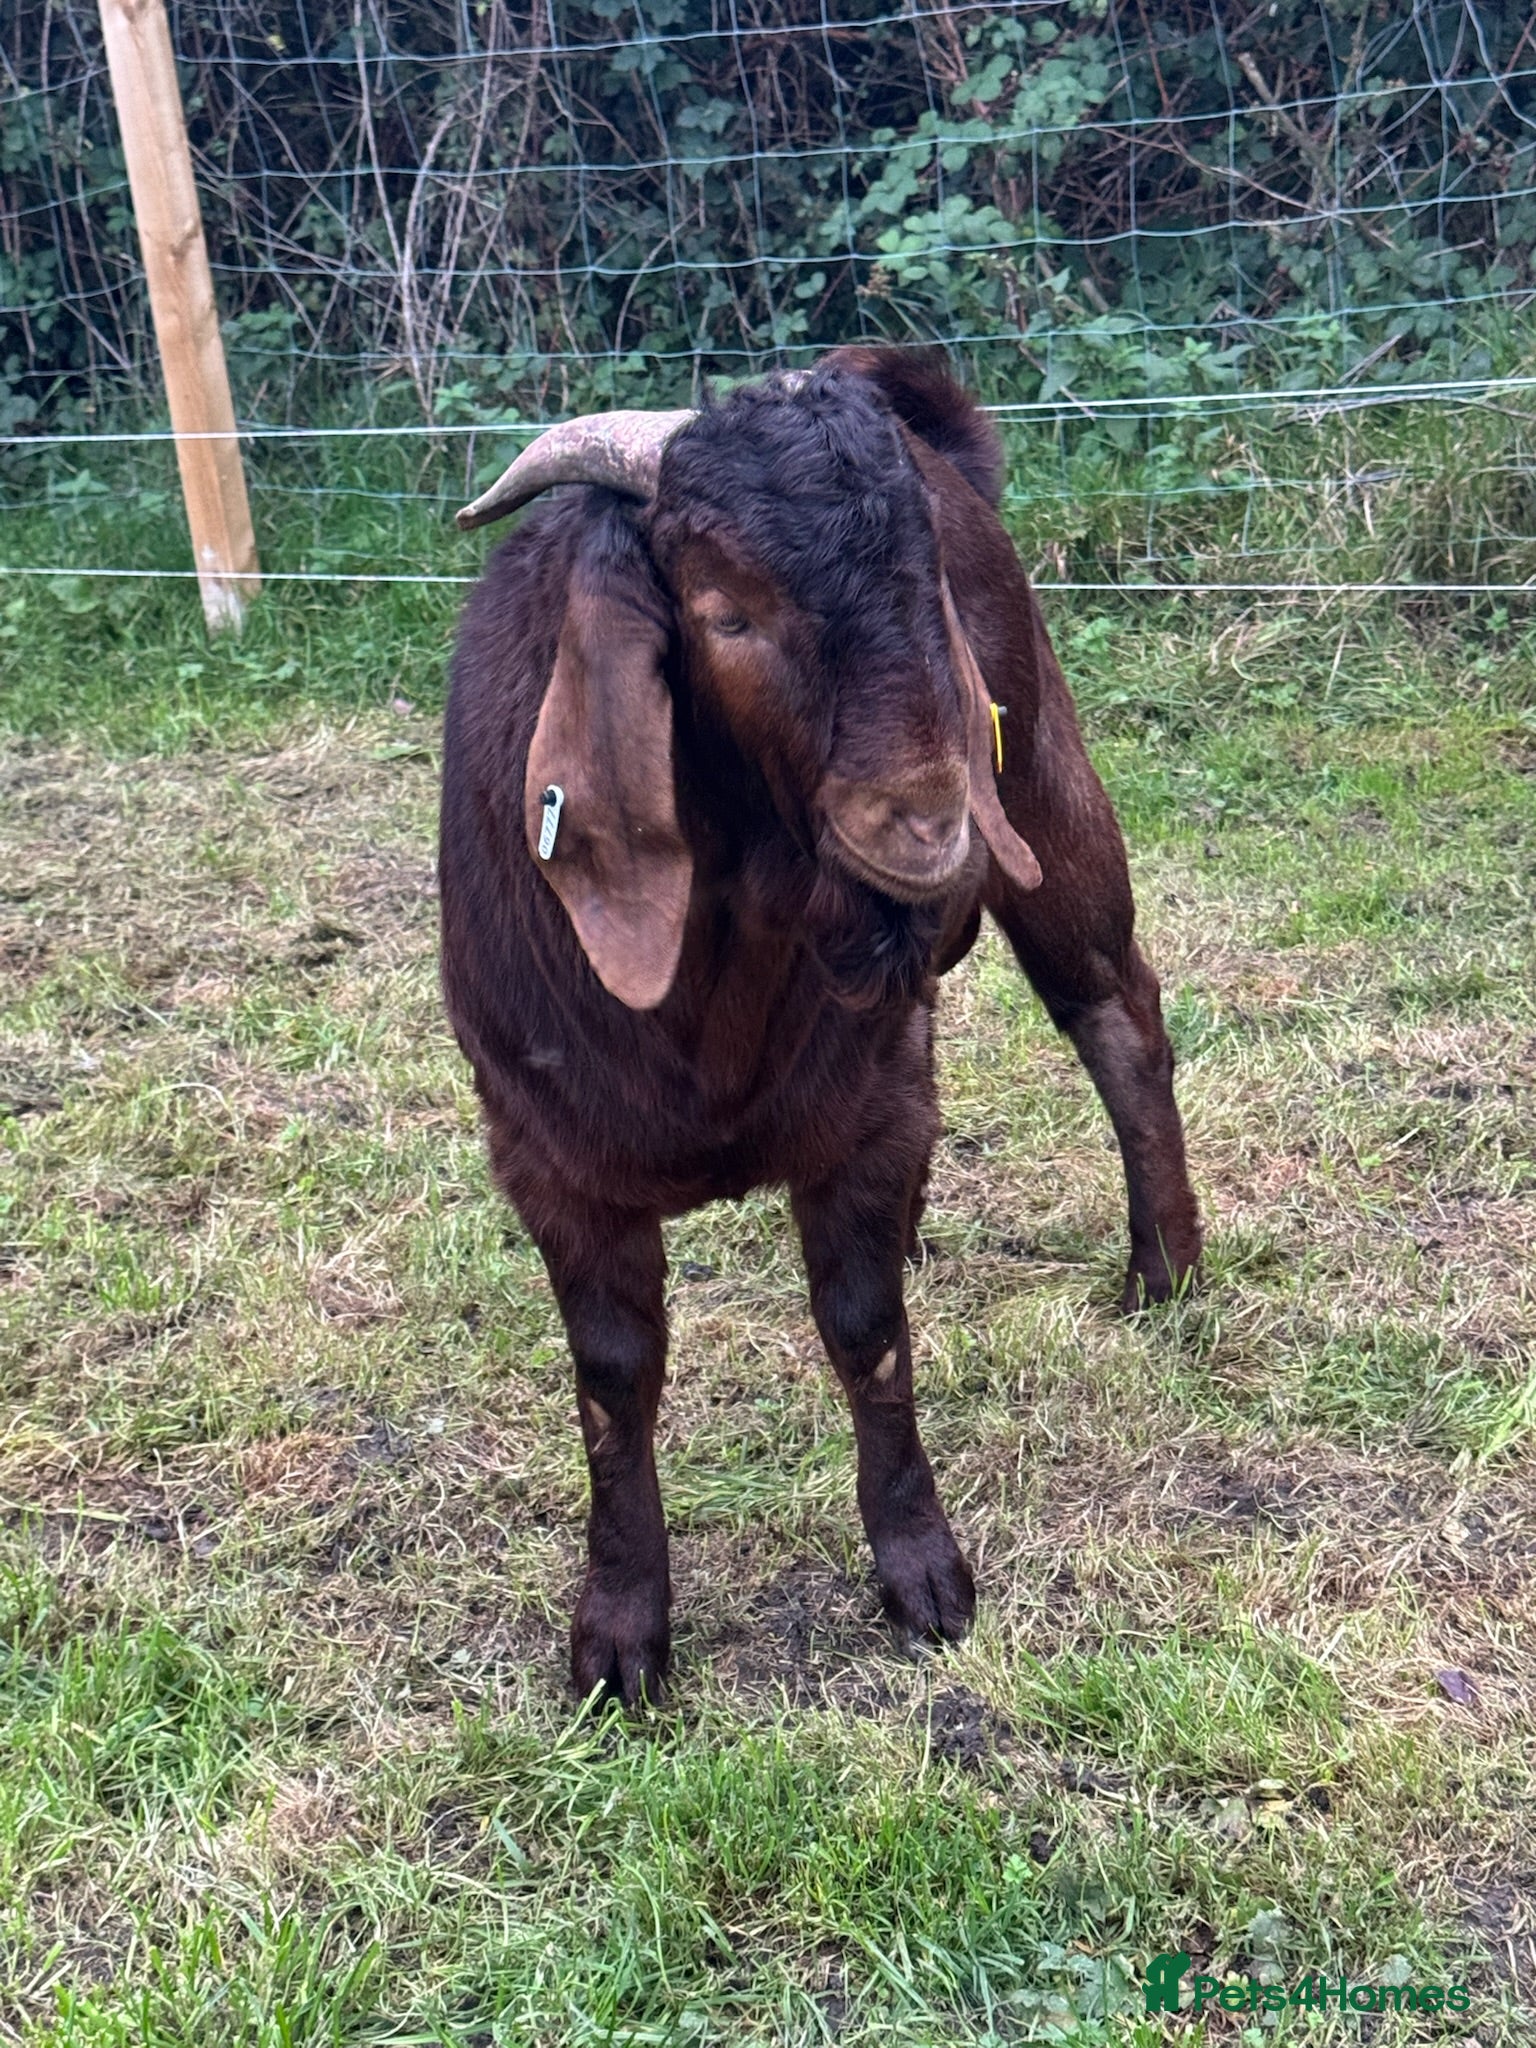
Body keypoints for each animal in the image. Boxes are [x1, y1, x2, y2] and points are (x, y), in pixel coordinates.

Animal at [440, 348, 1201, 1704]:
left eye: (922, 581)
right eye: (724, 611)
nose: (931, 822)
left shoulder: (862, 1103)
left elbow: (866, 1331)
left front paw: (923, 1572)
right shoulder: (546, 1155)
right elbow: (612, 1379)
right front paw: (620, 1633)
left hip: (1048, 788)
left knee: (1120, 1017)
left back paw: (1165, 1265)